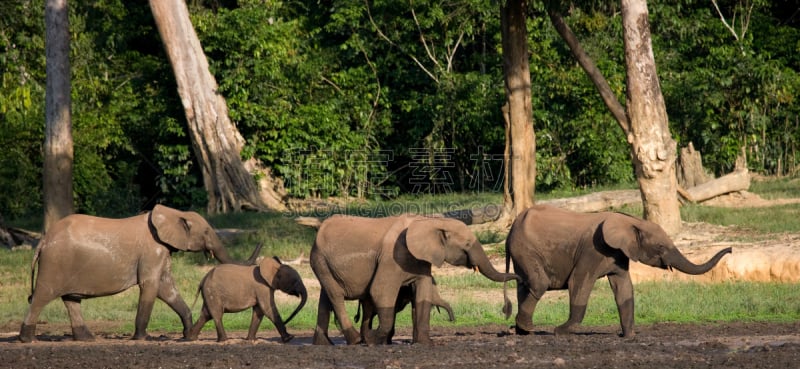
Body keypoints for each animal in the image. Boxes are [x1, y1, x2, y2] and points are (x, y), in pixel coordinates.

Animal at [18, 204, 260, 342]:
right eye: (208, 232)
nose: (260, 244)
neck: (172, 213)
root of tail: (43, 241)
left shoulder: (161, 250)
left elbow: (166, 289)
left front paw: (187, 335)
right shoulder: (152, 250)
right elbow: (151, 286)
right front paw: (141, 338)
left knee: (71, 300)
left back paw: (87, 339)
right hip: (54, 263)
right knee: (41, 296)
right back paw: (26, 339)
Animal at [310, 213, 516, 344]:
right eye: (466, 244)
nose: (507, 309)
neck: (430, 221)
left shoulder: (420, 258)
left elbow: (423, 293)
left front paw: (425, 344)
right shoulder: (392, 257)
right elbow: (380, 291)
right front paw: (375, 340)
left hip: (324, 264)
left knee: (326, 297)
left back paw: (325, 344)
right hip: (320, 260)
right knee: (336, 296)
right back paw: (356, 340)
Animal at [506, 204, 732, 336]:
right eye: (660, 247)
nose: (730, 249)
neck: (631, 221)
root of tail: (513, 226)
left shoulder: (618, 254)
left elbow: (624, 289)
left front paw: (629, 336)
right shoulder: (593, 250)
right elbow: (578, 283)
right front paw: (560, 331)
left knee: (524, 286)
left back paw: (521, 331)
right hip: (525, 249)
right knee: (539, 283)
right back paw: (528, 329)